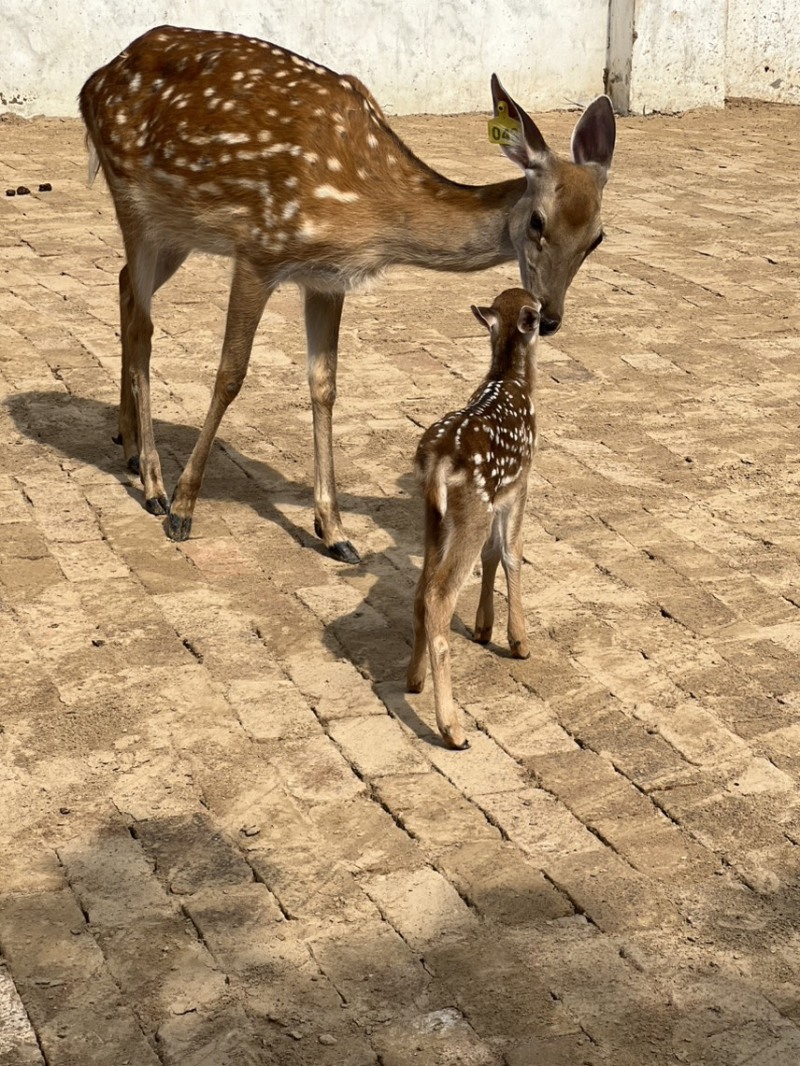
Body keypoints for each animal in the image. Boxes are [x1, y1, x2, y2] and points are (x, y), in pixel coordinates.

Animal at [79, 25, 615, 563]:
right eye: (537, 221)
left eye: (598, 237)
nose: (551, 317)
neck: (365, 205)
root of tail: (94, 80)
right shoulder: (259, 249)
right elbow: (230, 374)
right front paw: (184, 510)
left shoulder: (326, 278)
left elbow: (325, 385)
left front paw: (334, 530)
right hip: (133, 201)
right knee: (144, 322)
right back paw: (154, 485)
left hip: (176, 231)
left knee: (125, 286)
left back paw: (128, 445)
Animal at [406, 288, 541, 750]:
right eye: (537, 308)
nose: (552, 317)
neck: (511, 379)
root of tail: (439, 459)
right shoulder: (519, 483)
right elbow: (512, 551)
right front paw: (518, 641)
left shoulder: (498, 497)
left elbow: (491, 555)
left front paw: (484, 628)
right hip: (472, 510)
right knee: (438, 596)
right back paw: (452, 728)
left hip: (435, 517)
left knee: (421, 590)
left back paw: (414, 680)